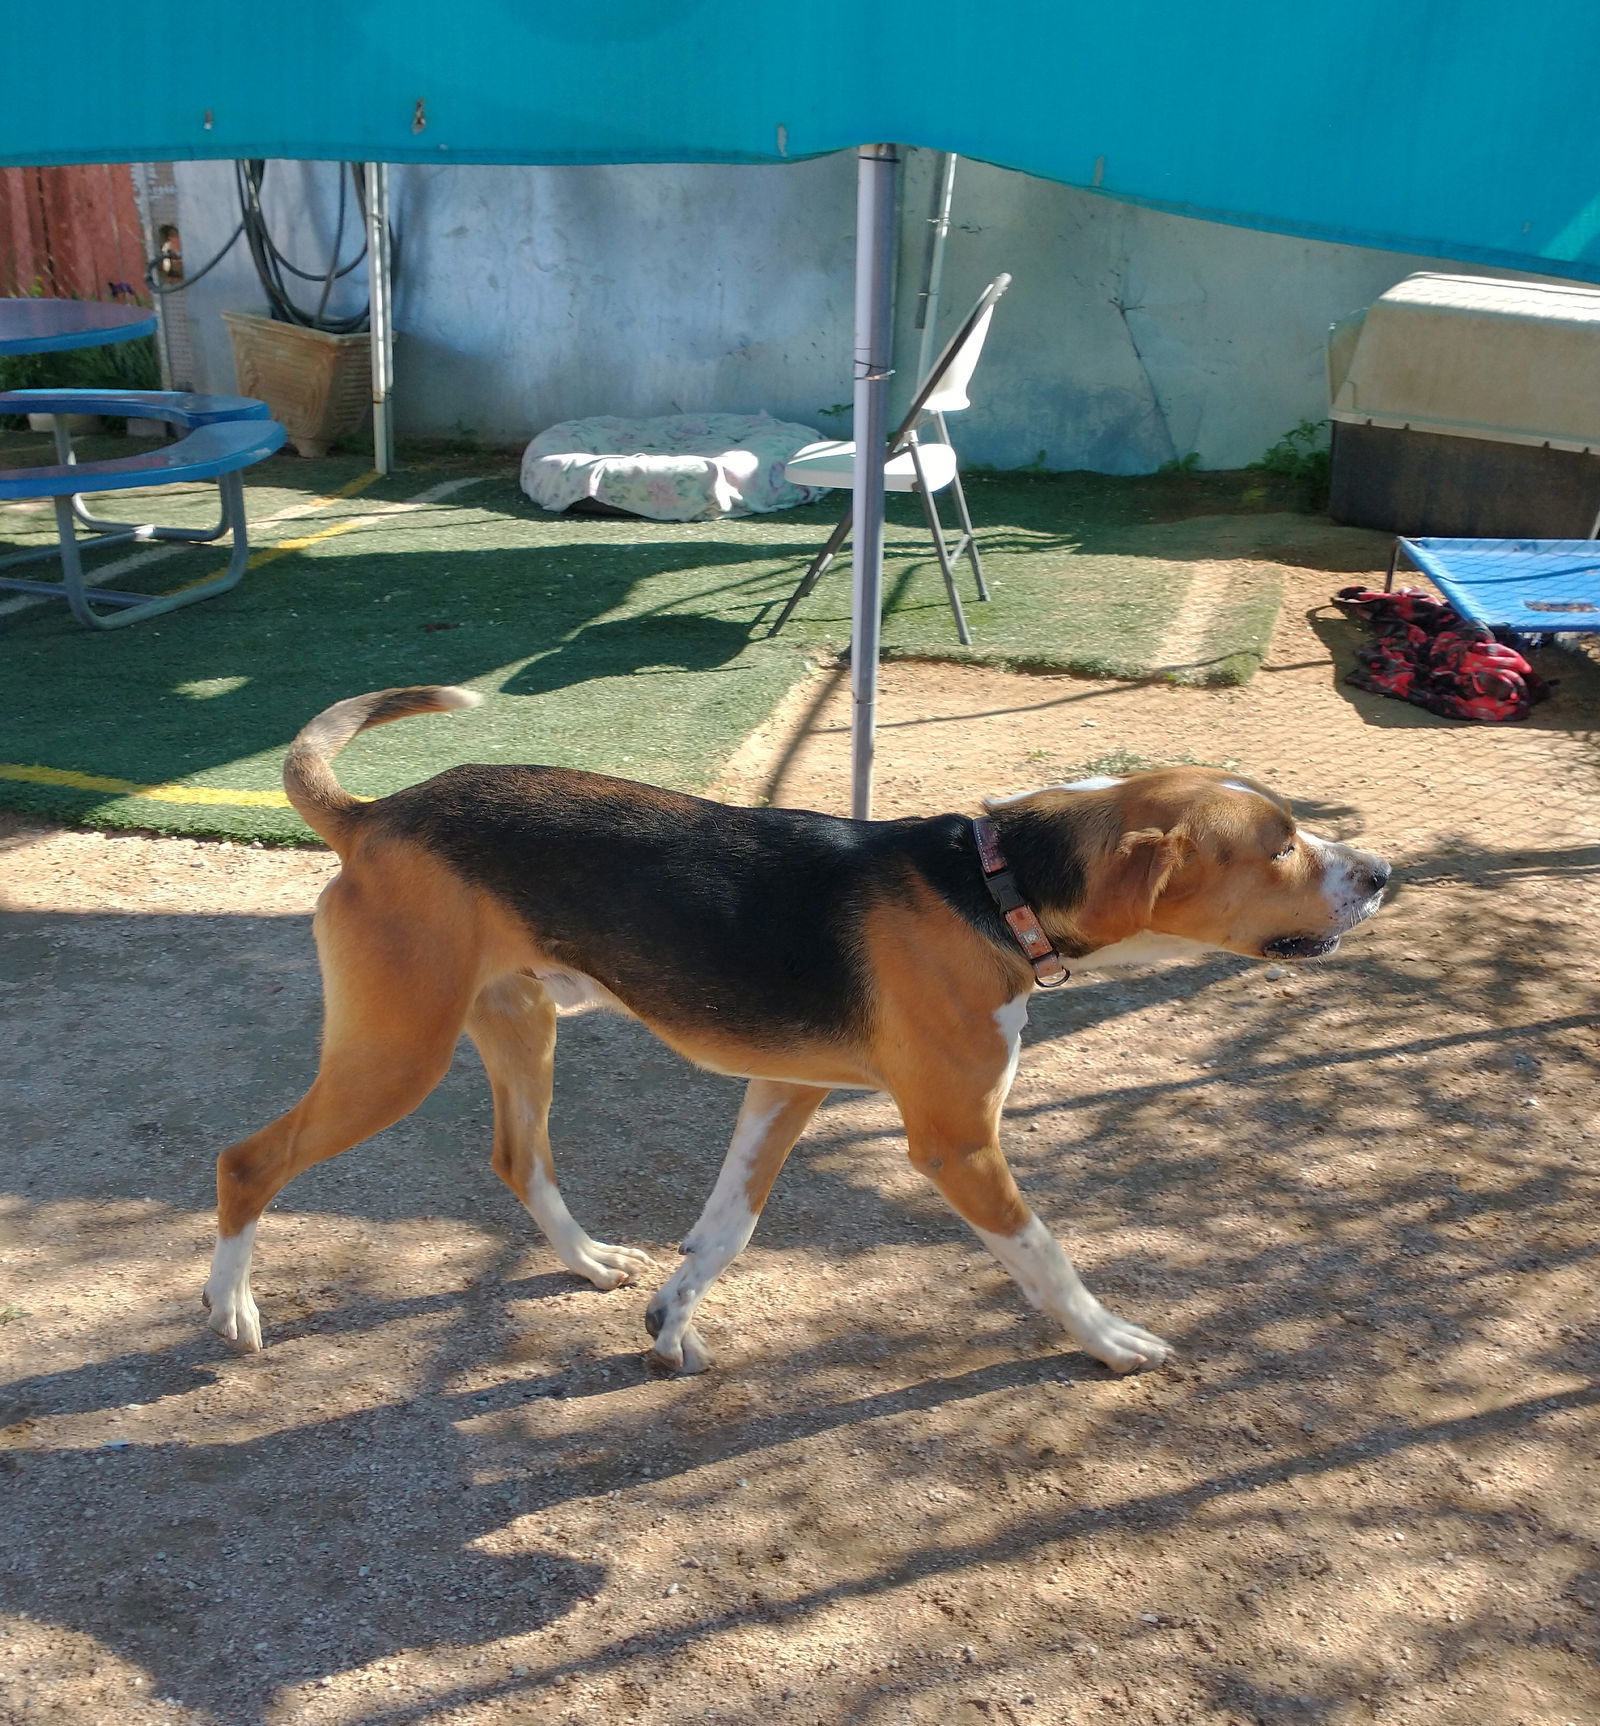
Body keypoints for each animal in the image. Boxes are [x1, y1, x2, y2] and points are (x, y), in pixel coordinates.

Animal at [203, 686, 1387, 1373]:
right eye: (1280, 843)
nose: (1384, 872)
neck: (992, 883)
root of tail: (374, 817)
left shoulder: (787, 1089)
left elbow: (727, 1228)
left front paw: (672, 1319)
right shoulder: (955, 1143)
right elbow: (1048, 1257)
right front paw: (1109, 1341)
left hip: (522, 1028)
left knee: (515, 1158)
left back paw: (588, 1261)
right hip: (395, 1056)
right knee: (248, 1159)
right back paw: (229, 1307)